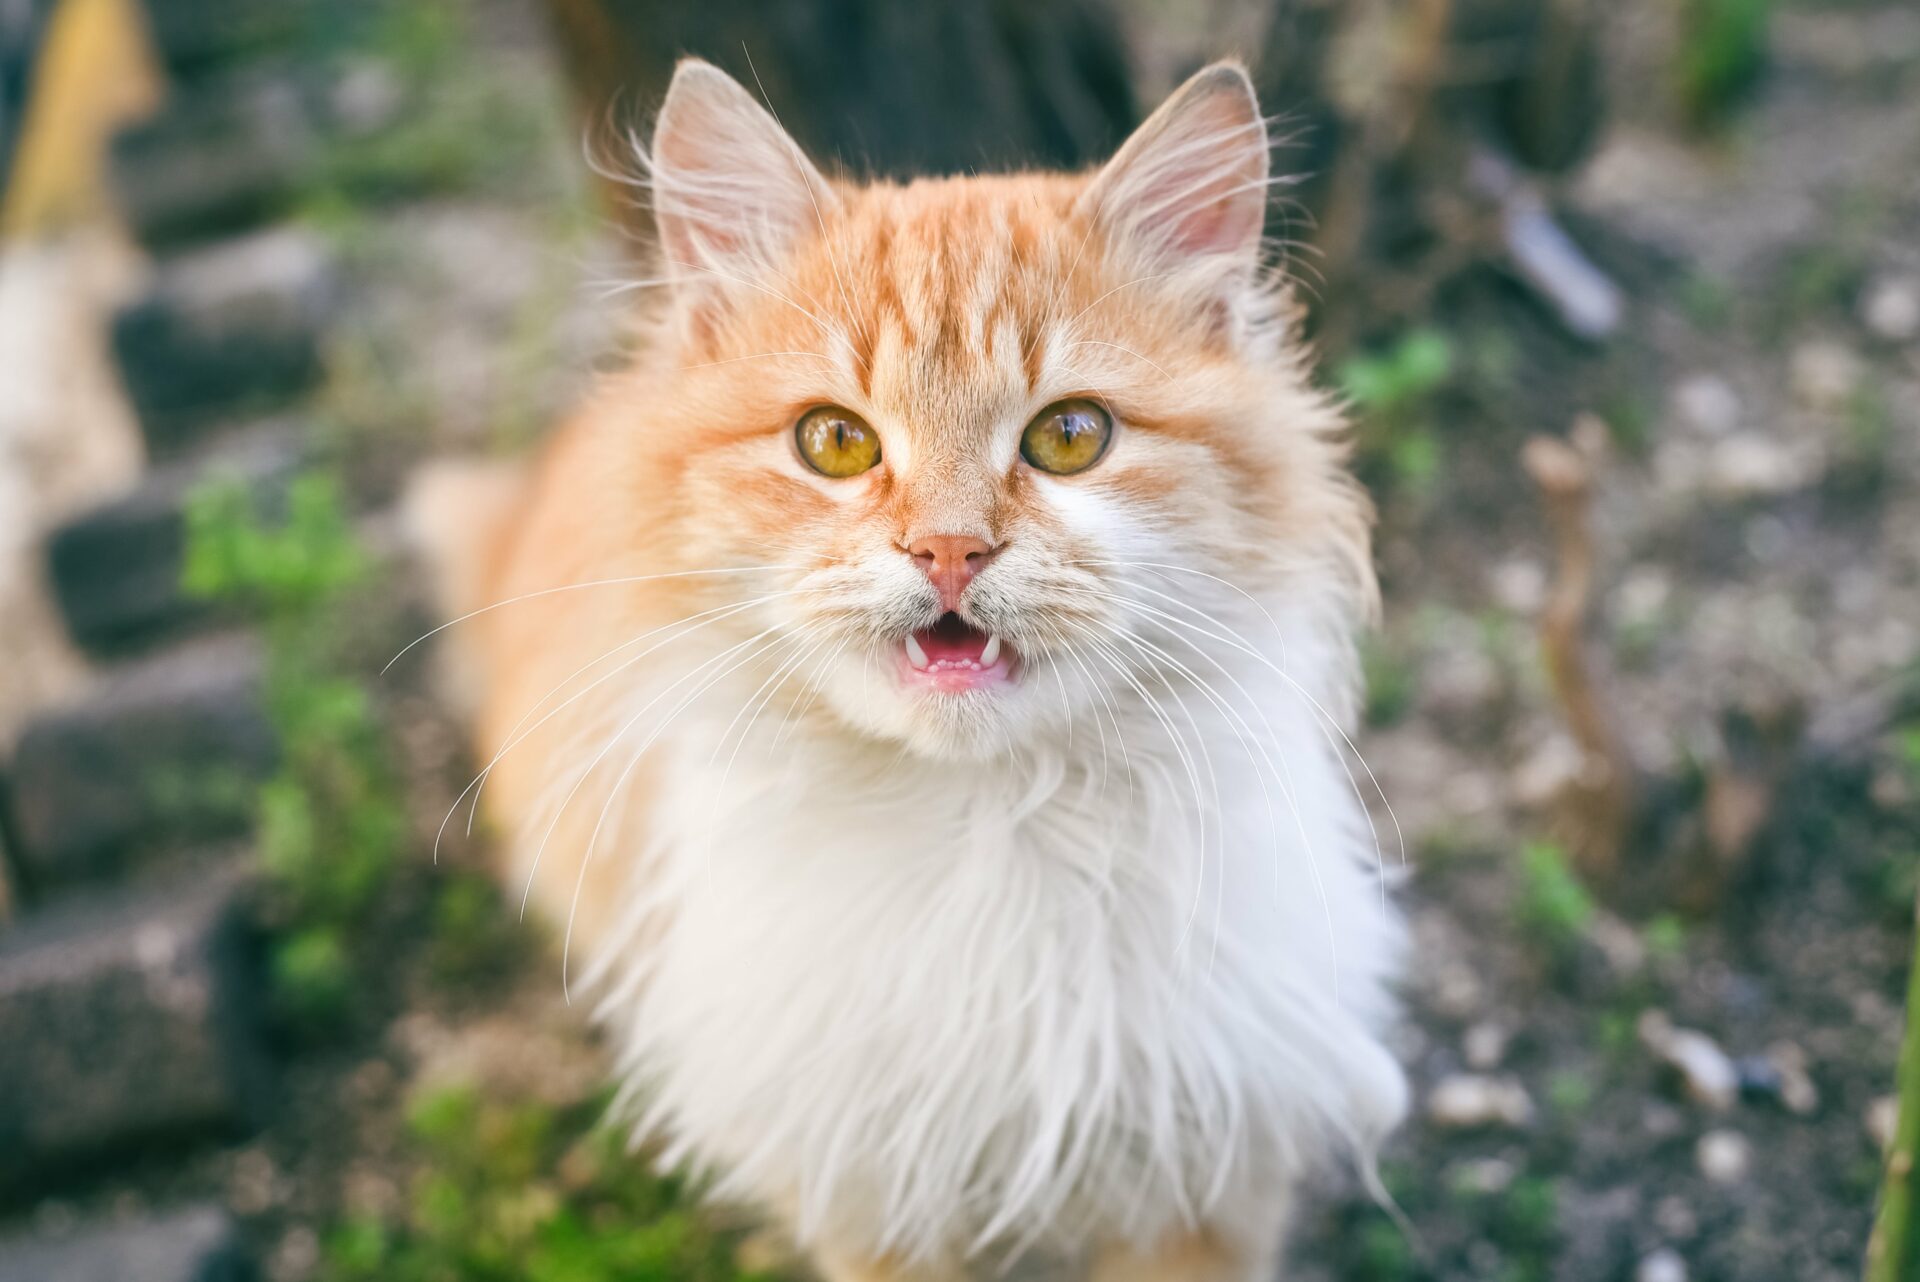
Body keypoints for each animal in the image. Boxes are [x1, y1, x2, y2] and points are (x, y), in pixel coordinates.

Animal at [416, 57, 1413, 1282]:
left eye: (1070, 436)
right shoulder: (877, 1200)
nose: (947, 550)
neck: (992, 828)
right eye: (835, 442)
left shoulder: (1204, 1171)